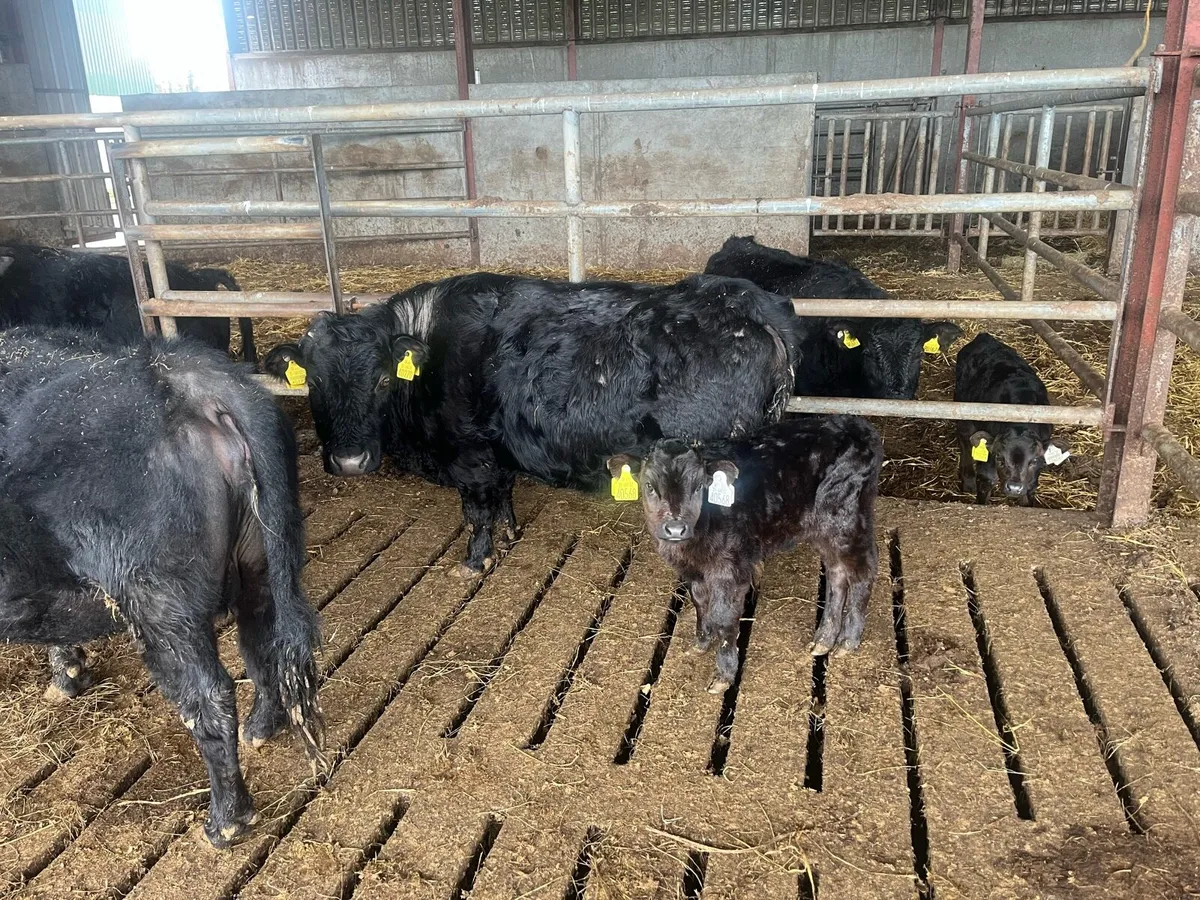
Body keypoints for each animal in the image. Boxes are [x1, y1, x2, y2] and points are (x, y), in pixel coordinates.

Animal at [0, 327, 323, 847]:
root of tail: (189, 379)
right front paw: (67, 676)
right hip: (262, 561)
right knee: (263, 645)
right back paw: (259, 730)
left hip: (157, 599)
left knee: (209, 697)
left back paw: (226, 823)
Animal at [264, 272, 803, 574]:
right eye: (313, 381)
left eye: (380, 379)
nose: (350, 461)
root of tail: (737, 299)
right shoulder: (495, 456)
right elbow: (501, 500)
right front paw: (506, 536)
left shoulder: (471, 459)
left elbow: (477, 511)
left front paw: (475, 560)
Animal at [606, 415, 883, 692]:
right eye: (649, 486)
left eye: (698, 486)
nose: (675, 528)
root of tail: (858, 425)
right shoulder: (693, 571)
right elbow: (700, 603)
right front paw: (701, 643)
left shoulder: (732, 569)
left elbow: (724, 617)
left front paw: (723, 675)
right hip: (823, 528)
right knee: (837, 573)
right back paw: (824, 639)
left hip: (848, 520)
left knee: (863, 570)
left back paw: (848, 640)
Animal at [954, 332, 1071, 506]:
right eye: (999, 458)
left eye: (1034, 461)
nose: (1014, 488)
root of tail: (984, 337)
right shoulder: (987, 470)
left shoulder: (1033, 478)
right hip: (963, 412)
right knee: (965, 443)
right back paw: (968, 481)